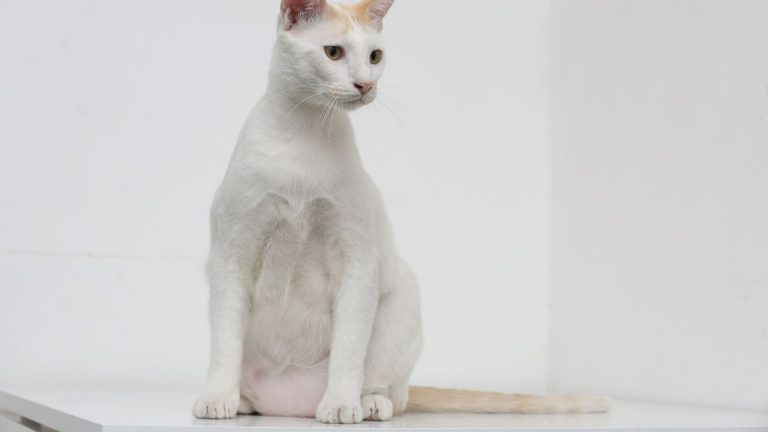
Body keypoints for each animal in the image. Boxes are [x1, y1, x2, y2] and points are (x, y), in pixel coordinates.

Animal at [190, 0, 608, 422]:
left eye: (375, 56)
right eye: (333, 52)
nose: (365, 84)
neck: (306, 132)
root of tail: (288, 406)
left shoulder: (357, 261)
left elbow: (348, 348)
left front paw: (340, 404)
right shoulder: (230, 256)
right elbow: (225, 342)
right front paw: (217, 399)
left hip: (401, 298)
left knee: (386, 387)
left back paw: (366, 404)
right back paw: (243, 401)